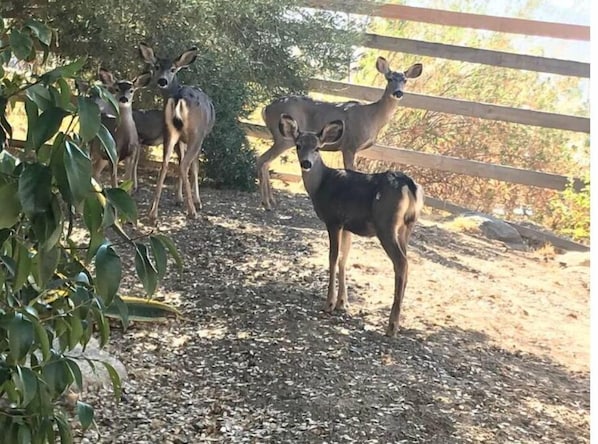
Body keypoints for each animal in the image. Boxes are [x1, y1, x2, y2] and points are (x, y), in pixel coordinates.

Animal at [139, 42, 217, 222]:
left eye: (173, 69)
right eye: (157, 66)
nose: (162, 80)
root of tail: (178, 97)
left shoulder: (180, 138)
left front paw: (178, 198)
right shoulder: (200, 138)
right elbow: (195, 167)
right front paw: (196, 201)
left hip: (170, 131)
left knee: (165, 164)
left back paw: (152, 213)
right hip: (195, 133)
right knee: (185, 164)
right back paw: (193, 211)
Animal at [260, 56, 424, 210]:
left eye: (405, 80)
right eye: (389, 78)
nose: (398, 92)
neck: (372, 117)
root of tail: (266, 109)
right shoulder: (349, 145)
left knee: (265, 162)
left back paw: (271, 201)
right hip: (283, 139)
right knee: (262, 160)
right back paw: (267, 203)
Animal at [278, 114, 424, 336]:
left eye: (317, 148)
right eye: (298, 145)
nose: (306, 163)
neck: (321, 184)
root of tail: (410, 186)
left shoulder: (333, 220)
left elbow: (332, 257)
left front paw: (329, 304)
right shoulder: (348, 226)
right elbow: (344, 258)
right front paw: (342, 303)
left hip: (386, 224)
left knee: (401, 263)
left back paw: (392, 326)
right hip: (406, 227)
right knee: (406, 263)